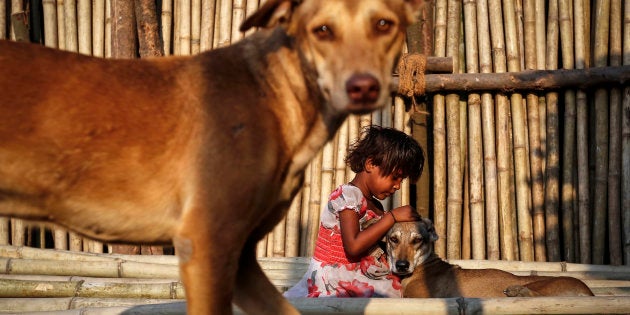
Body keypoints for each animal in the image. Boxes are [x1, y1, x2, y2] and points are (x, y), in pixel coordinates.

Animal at [0, 0, 428, 315]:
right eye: (322, 30)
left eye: (384, 24)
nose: (362, 87)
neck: (274, 95)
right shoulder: (207, 244)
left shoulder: (242, 258)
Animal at [386, 220, 596, 298]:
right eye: (393, 239)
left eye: (417, 240)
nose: (402, 265)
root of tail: (589, 292)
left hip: (542, 285)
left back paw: (517, 291)